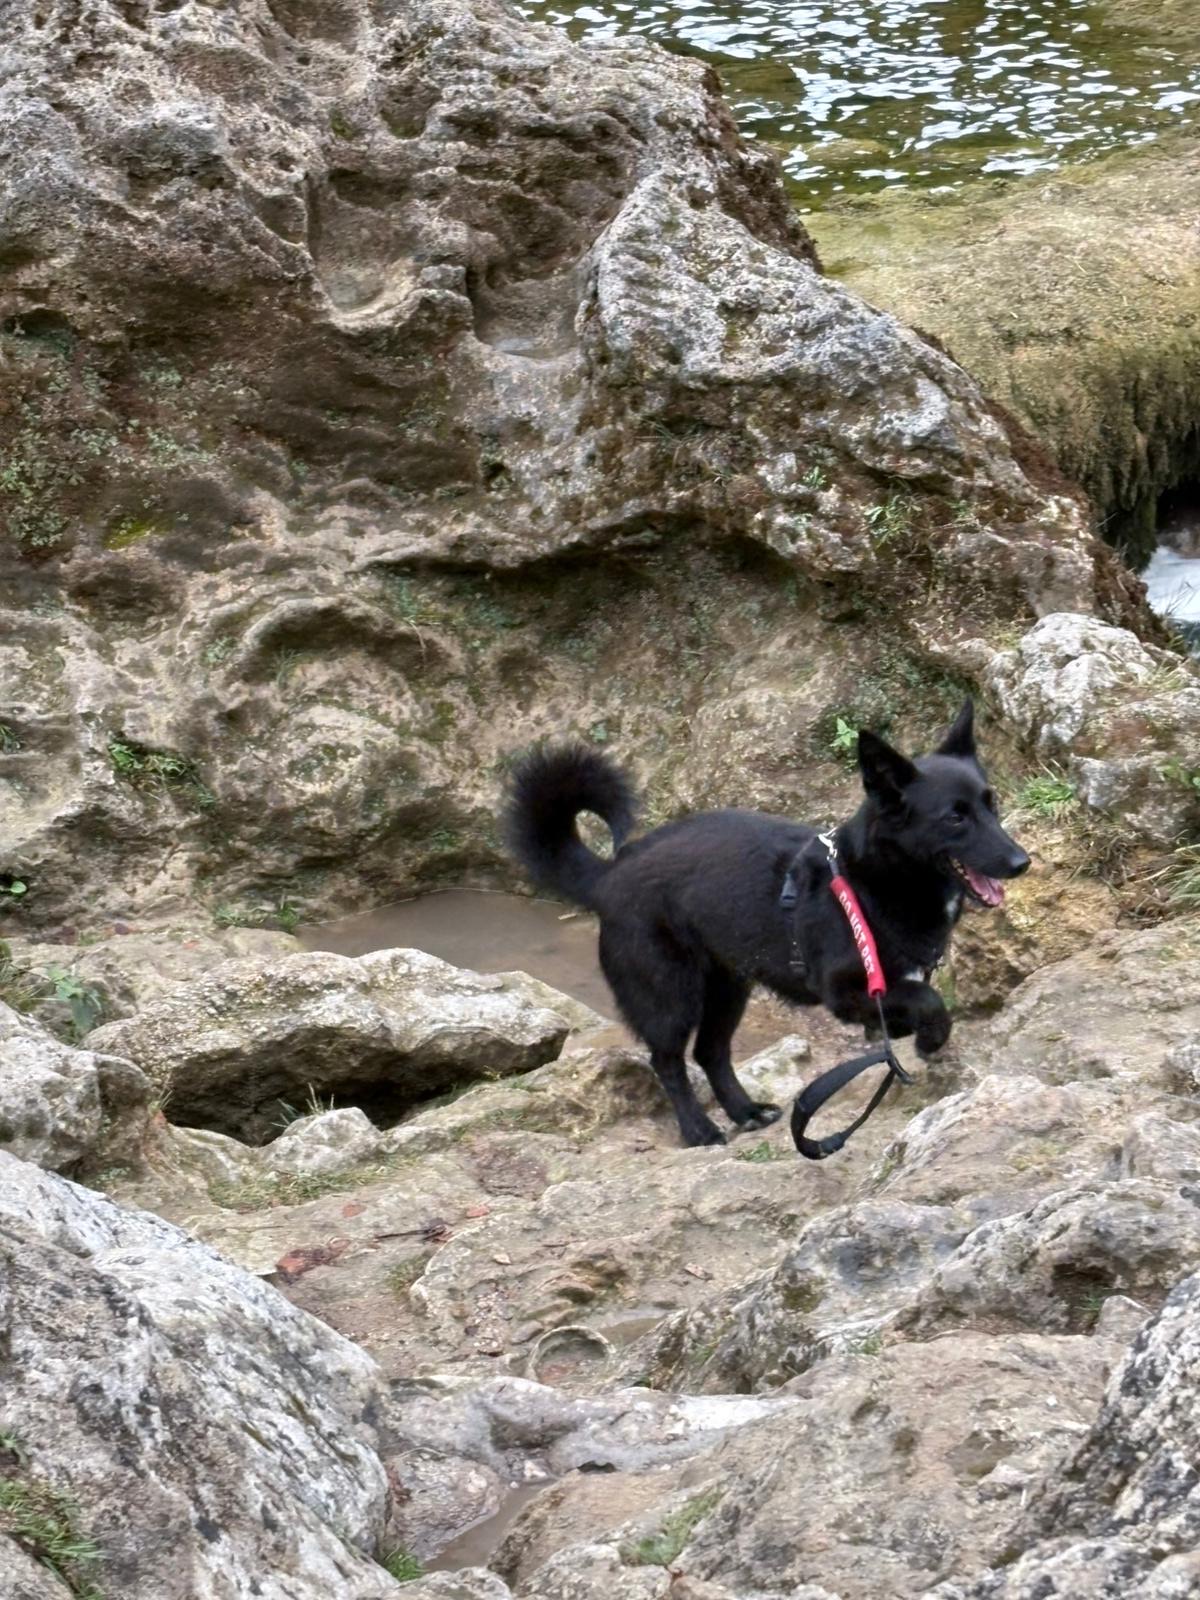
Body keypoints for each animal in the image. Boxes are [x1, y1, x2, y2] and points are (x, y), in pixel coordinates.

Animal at [504, 701, 1029, 1148]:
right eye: (955, 818)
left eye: (992, 804)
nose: (1022, 862)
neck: (871, 881)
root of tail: (611, 873)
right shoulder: (847, 992)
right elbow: (929, 999)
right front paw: (930, 1038)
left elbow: (914, 1002)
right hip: (669, 995)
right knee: (668, 1060)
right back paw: (699, 1129)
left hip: (728, 987)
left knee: (710, 1052)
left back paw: (745, 1111)